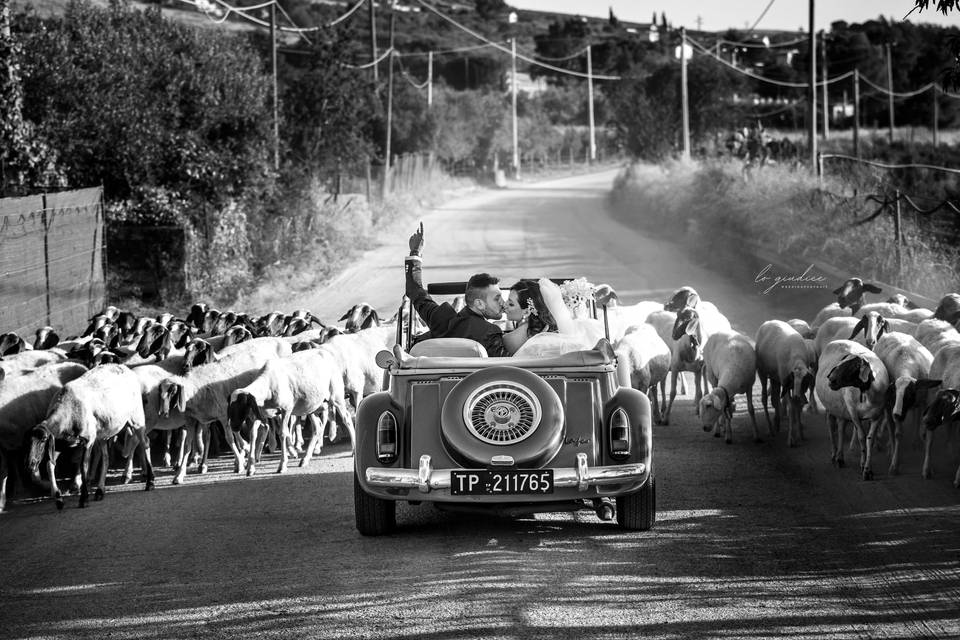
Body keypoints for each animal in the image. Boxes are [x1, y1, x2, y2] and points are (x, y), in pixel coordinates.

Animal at [27, 362, 154, 508]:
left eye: (43, 439)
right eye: (29, 441)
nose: (30, 464)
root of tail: (123, 366)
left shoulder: (88, 440)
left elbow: (84, 467)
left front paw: (84, 498)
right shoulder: (61, 442)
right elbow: (49, 465)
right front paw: (58, 499)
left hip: (137, 418)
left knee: (145, 443)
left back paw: (150, 482)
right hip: (104, 433)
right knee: (106, 458)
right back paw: (100, 491)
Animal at [812, 340, 888, 480]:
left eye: (853, 367)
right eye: (842, 362)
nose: (830, 379)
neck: (865, 393)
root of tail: (837, 340)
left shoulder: (877, 415)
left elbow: (869, 440)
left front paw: (867, 469)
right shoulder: (853, 412)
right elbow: (861, 437)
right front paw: (864, 467)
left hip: (842, 408)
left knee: (841, 429)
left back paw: (840, 458)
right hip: (832, 408)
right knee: (831, 427)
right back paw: (834, 455)